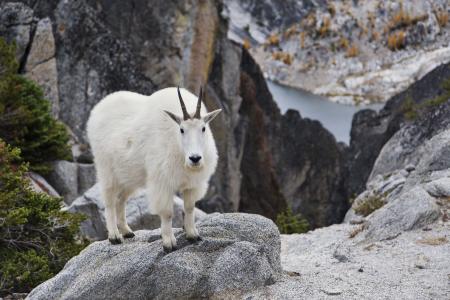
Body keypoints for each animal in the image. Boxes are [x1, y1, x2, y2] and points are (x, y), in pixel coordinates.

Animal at [85, 86, 220, 251]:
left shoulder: (192, 184)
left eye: (203, 128)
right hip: (107, 169)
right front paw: (169, 243)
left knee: (120, 200)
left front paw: (193, 235)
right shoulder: (162, 182)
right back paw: (115, 236)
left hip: (128, 175)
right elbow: (167, 213)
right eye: (181, 129)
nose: (195, 158)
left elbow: (189, 208)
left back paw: (127, 232)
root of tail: (97, 109)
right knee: (109, 201)